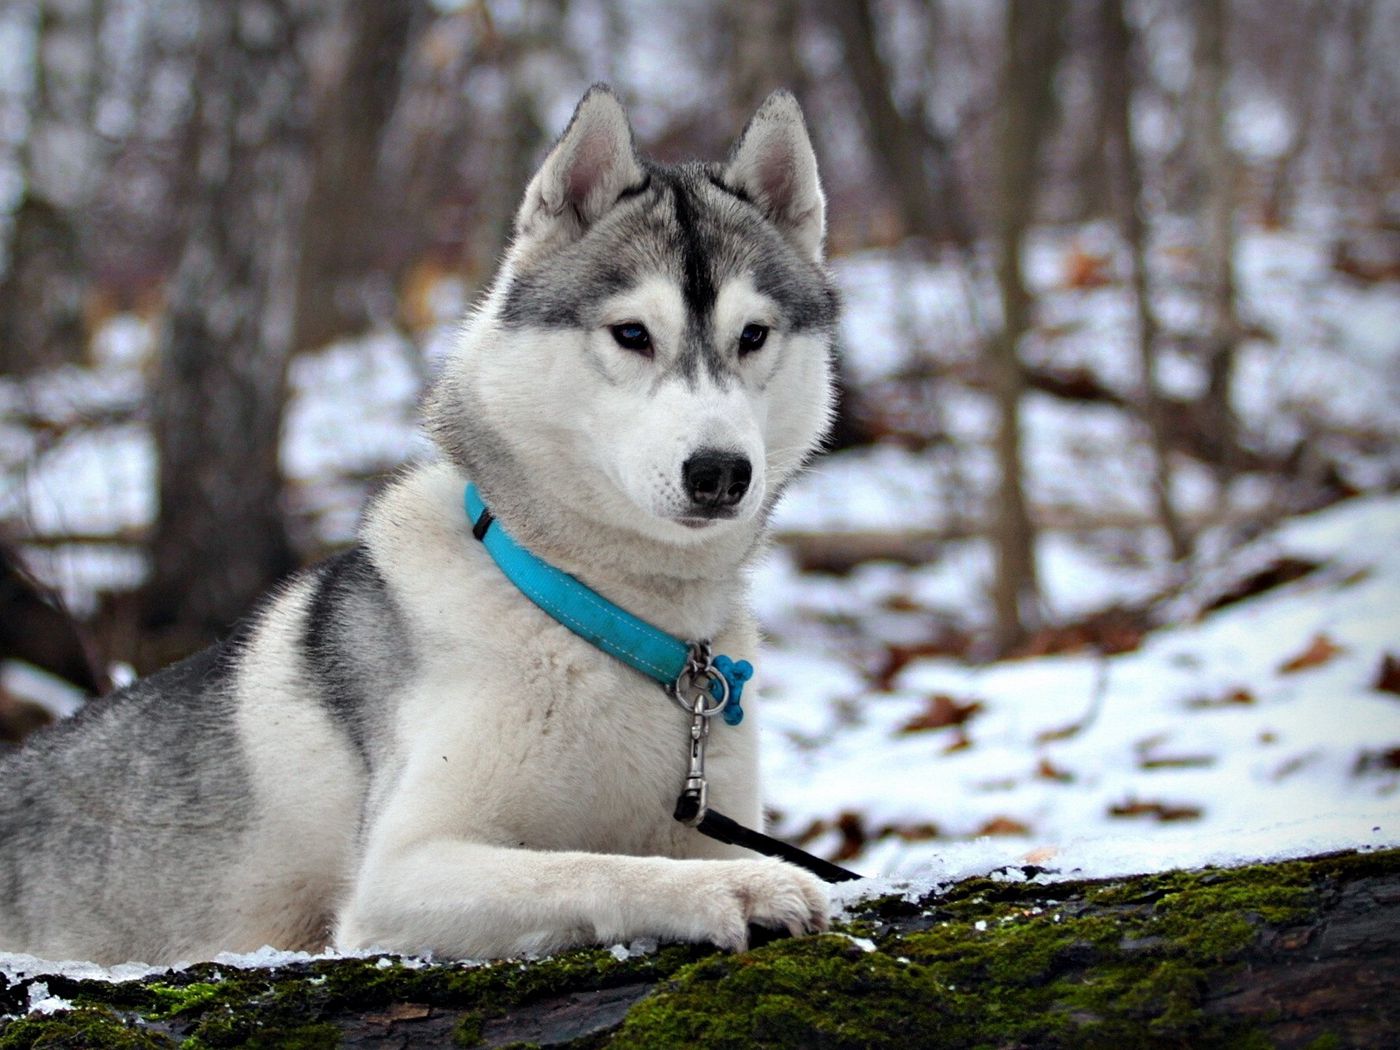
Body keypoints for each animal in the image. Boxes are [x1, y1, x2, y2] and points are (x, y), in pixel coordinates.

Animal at [0, 86, 834, 968]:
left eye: (753, 336)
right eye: (633, 334)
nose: (720, 472)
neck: (614, 624)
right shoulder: (401, 874)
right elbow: (594, 866)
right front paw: (736, 889)